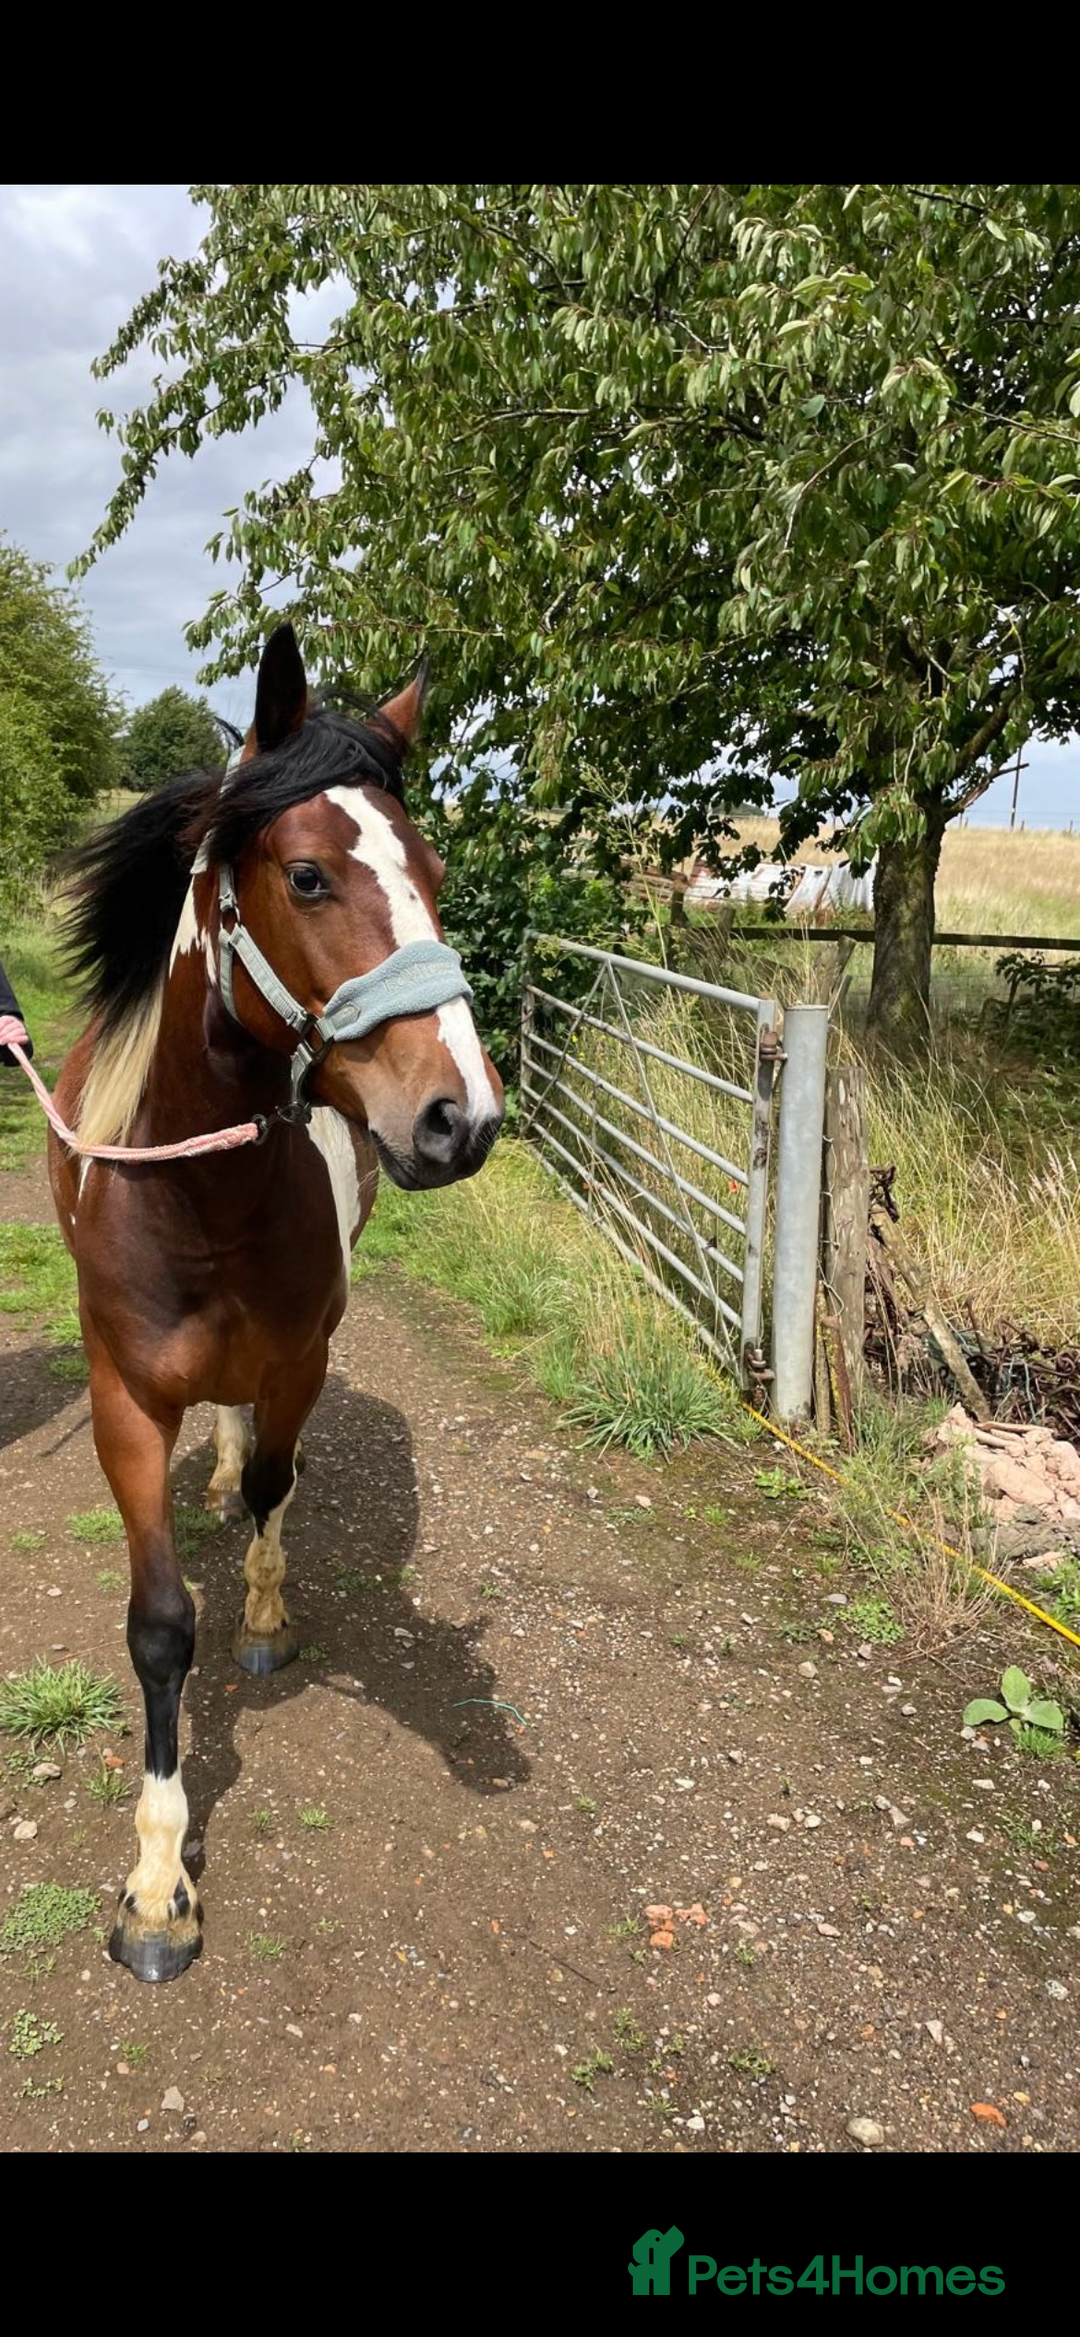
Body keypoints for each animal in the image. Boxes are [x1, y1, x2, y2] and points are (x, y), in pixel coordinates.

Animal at [47, 622, 504, 1983]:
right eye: (306, 877)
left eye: (436, 872)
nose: (462, 1119)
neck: (198, 1201)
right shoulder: (124, 1403)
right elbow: (156, 1627)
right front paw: (157, 1888)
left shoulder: (302, 1359)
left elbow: (271, 1485)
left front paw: (261, 1607)